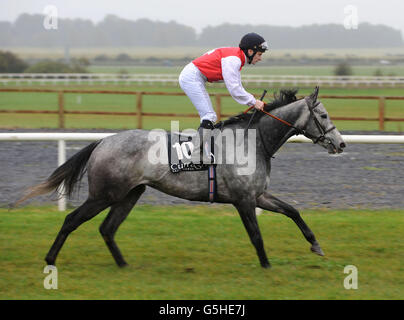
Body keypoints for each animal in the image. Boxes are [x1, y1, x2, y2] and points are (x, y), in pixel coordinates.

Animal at [15, 87, 344, 268]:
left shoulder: (258, 195)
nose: (340, 144)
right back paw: (50, 259)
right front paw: (266, 265)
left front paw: (315, 245)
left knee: (107, 228)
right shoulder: (242, 199)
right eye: (323, 116)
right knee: (73, 220)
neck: (253, 141)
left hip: (130, 194)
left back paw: (124, 265)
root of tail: (103, 142)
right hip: (104, 194)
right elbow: (256, 234)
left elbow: (293, 211)